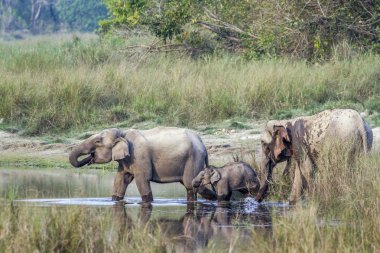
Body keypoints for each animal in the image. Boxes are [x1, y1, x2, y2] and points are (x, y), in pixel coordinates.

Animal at [69, 127, 217, 203]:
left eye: (98, 141)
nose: (89, 158)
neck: (123, 134)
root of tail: (202, 144)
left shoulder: (139, 157)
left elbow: (142, 180)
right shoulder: (126, 161)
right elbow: (120, 181)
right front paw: (114, 200)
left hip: (193, 159)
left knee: (193, 185)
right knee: (191, 188)